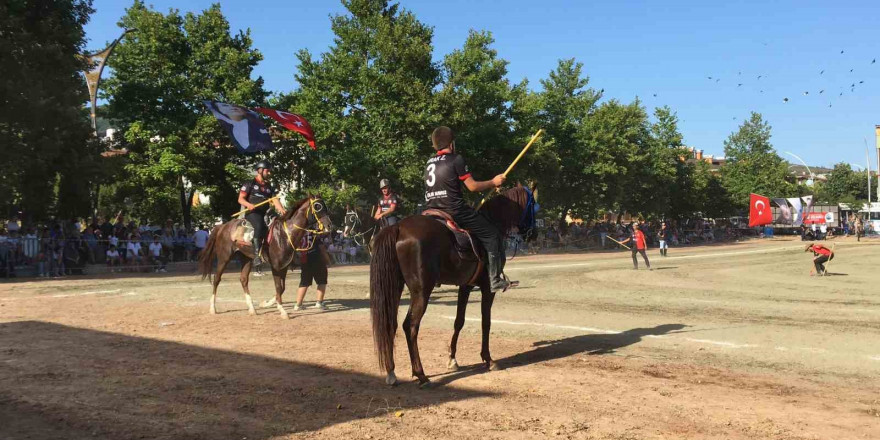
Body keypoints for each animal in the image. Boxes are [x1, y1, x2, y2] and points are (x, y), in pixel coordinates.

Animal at [198, 195, 332, 316]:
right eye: (317, 206)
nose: (330, 225)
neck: (285, 234)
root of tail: (222, 226)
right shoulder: (276, 267)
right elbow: (278, 287)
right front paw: (282, 310)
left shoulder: (284, 266)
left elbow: (282, 288)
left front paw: (267, 303)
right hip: (224, 257)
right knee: (216, 279)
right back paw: (213, 308)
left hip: (247, 258)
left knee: (243, 280)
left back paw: (252, 309)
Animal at [366, 184, 536, 386]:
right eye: (534, 205)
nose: (533, 234)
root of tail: (398, 227)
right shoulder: (488, 288)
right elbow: (486, 322)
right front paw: (488, 359)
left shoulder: (465, 286)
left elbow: (459, 322)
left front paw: (452, 359)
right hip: (421, 291)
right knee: (410, 326)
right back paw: (420, 374)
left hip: (395, 287)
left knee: (390, 324)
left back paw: (391, 372)